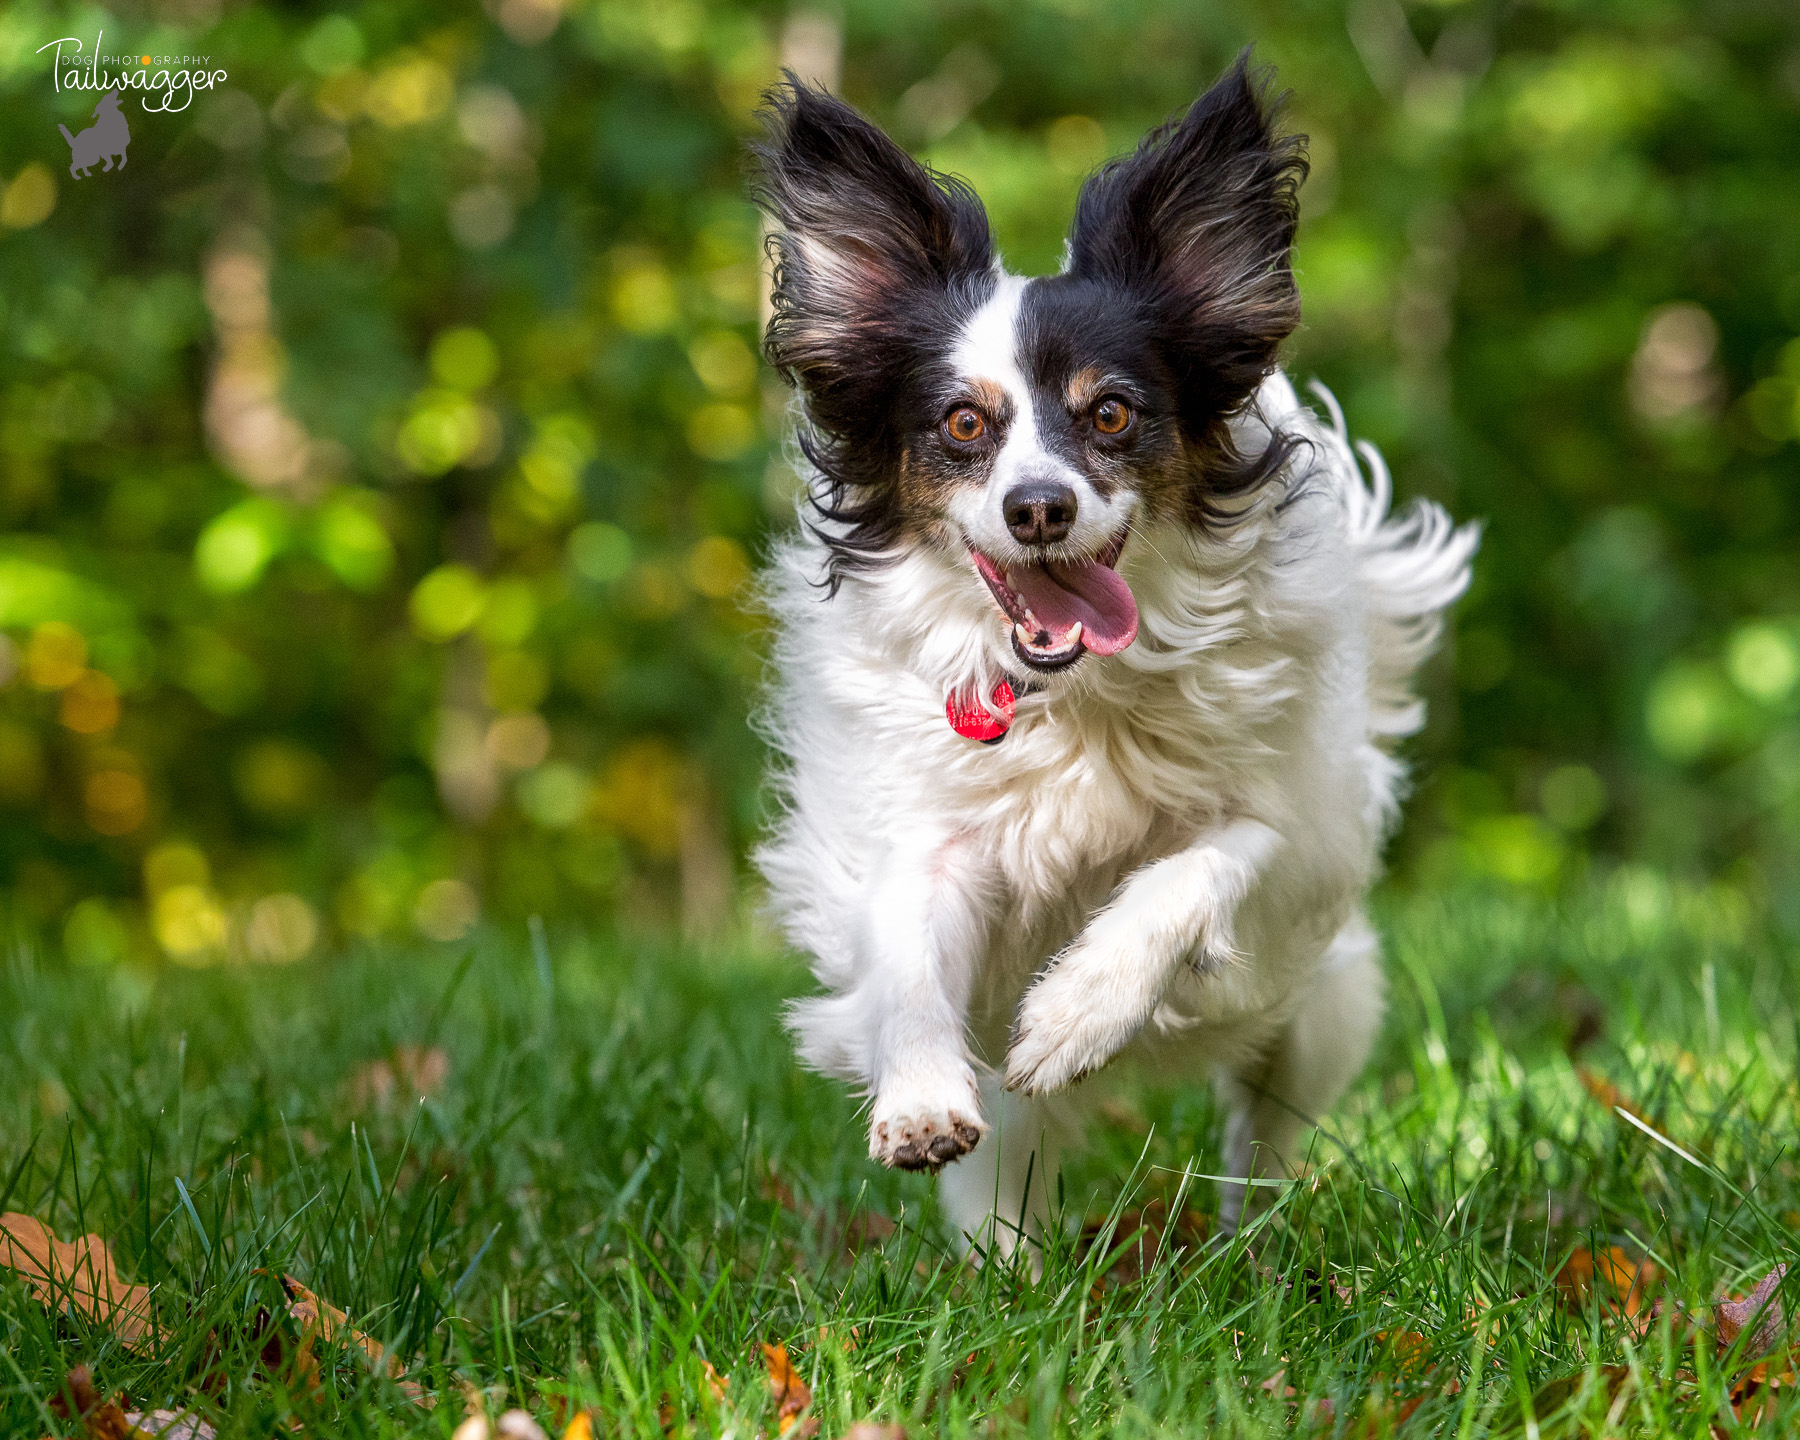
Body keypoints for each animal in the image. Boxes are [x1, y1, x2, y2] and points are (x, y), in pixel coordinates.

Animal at [745, 50, 1476, 1252]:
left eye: (1113, 415)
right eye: (962, 425)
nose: (1039, 507)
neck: (1074, 697)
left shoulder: (1298, 833)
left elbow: (1203, 867)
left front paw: (1080, 1011)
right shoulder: (925, 837)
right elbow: (908, 953)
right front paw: (917, 1098)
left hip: (1318, 1015)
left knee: (1263, 1134)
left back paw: (1252, 1241)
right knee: (1008, 1173)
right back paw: (1010, 1277)